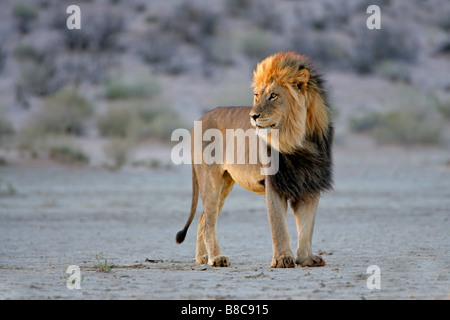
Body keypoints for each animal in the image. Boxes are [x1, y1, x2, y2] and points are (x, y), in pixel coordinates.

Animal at [176, 52, 334, 268]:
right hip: (210, 179)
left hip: (226, 182)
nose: (253, 115)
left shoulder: (310, 185)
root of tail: (198, 120)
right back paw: (216, 258)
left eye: (273, 95)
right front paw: (282, 259)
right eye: (257, 95)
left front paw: (307, 258)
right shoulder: (274, 184)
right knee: (209, 221)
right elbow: (279, 226)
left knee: (202, 218)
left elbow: (307, 226)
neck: (299, 141)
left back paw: (202, 258)